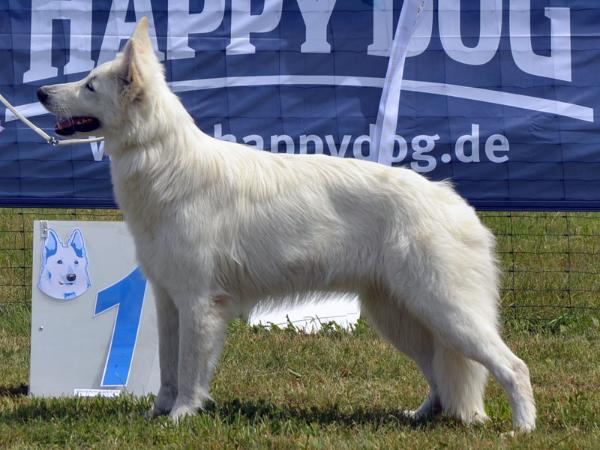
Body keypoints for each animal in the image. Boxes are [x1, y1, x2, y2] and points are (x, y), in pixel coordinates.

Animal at [36, 18, 536, 432]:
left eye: (89, 85)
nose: (40, 93)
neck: (163, 158)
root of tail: (455, 202)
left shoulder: (199, 303)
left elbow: (190, 370)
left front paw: (181, 417)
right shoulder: (167, 300)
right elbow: (167, 368)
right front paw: (158, 412)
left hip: (444, 311)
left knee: (514, 367)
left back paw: (521, 429)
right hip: (402, 319)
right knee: (441, 376)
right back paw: (419, 416)